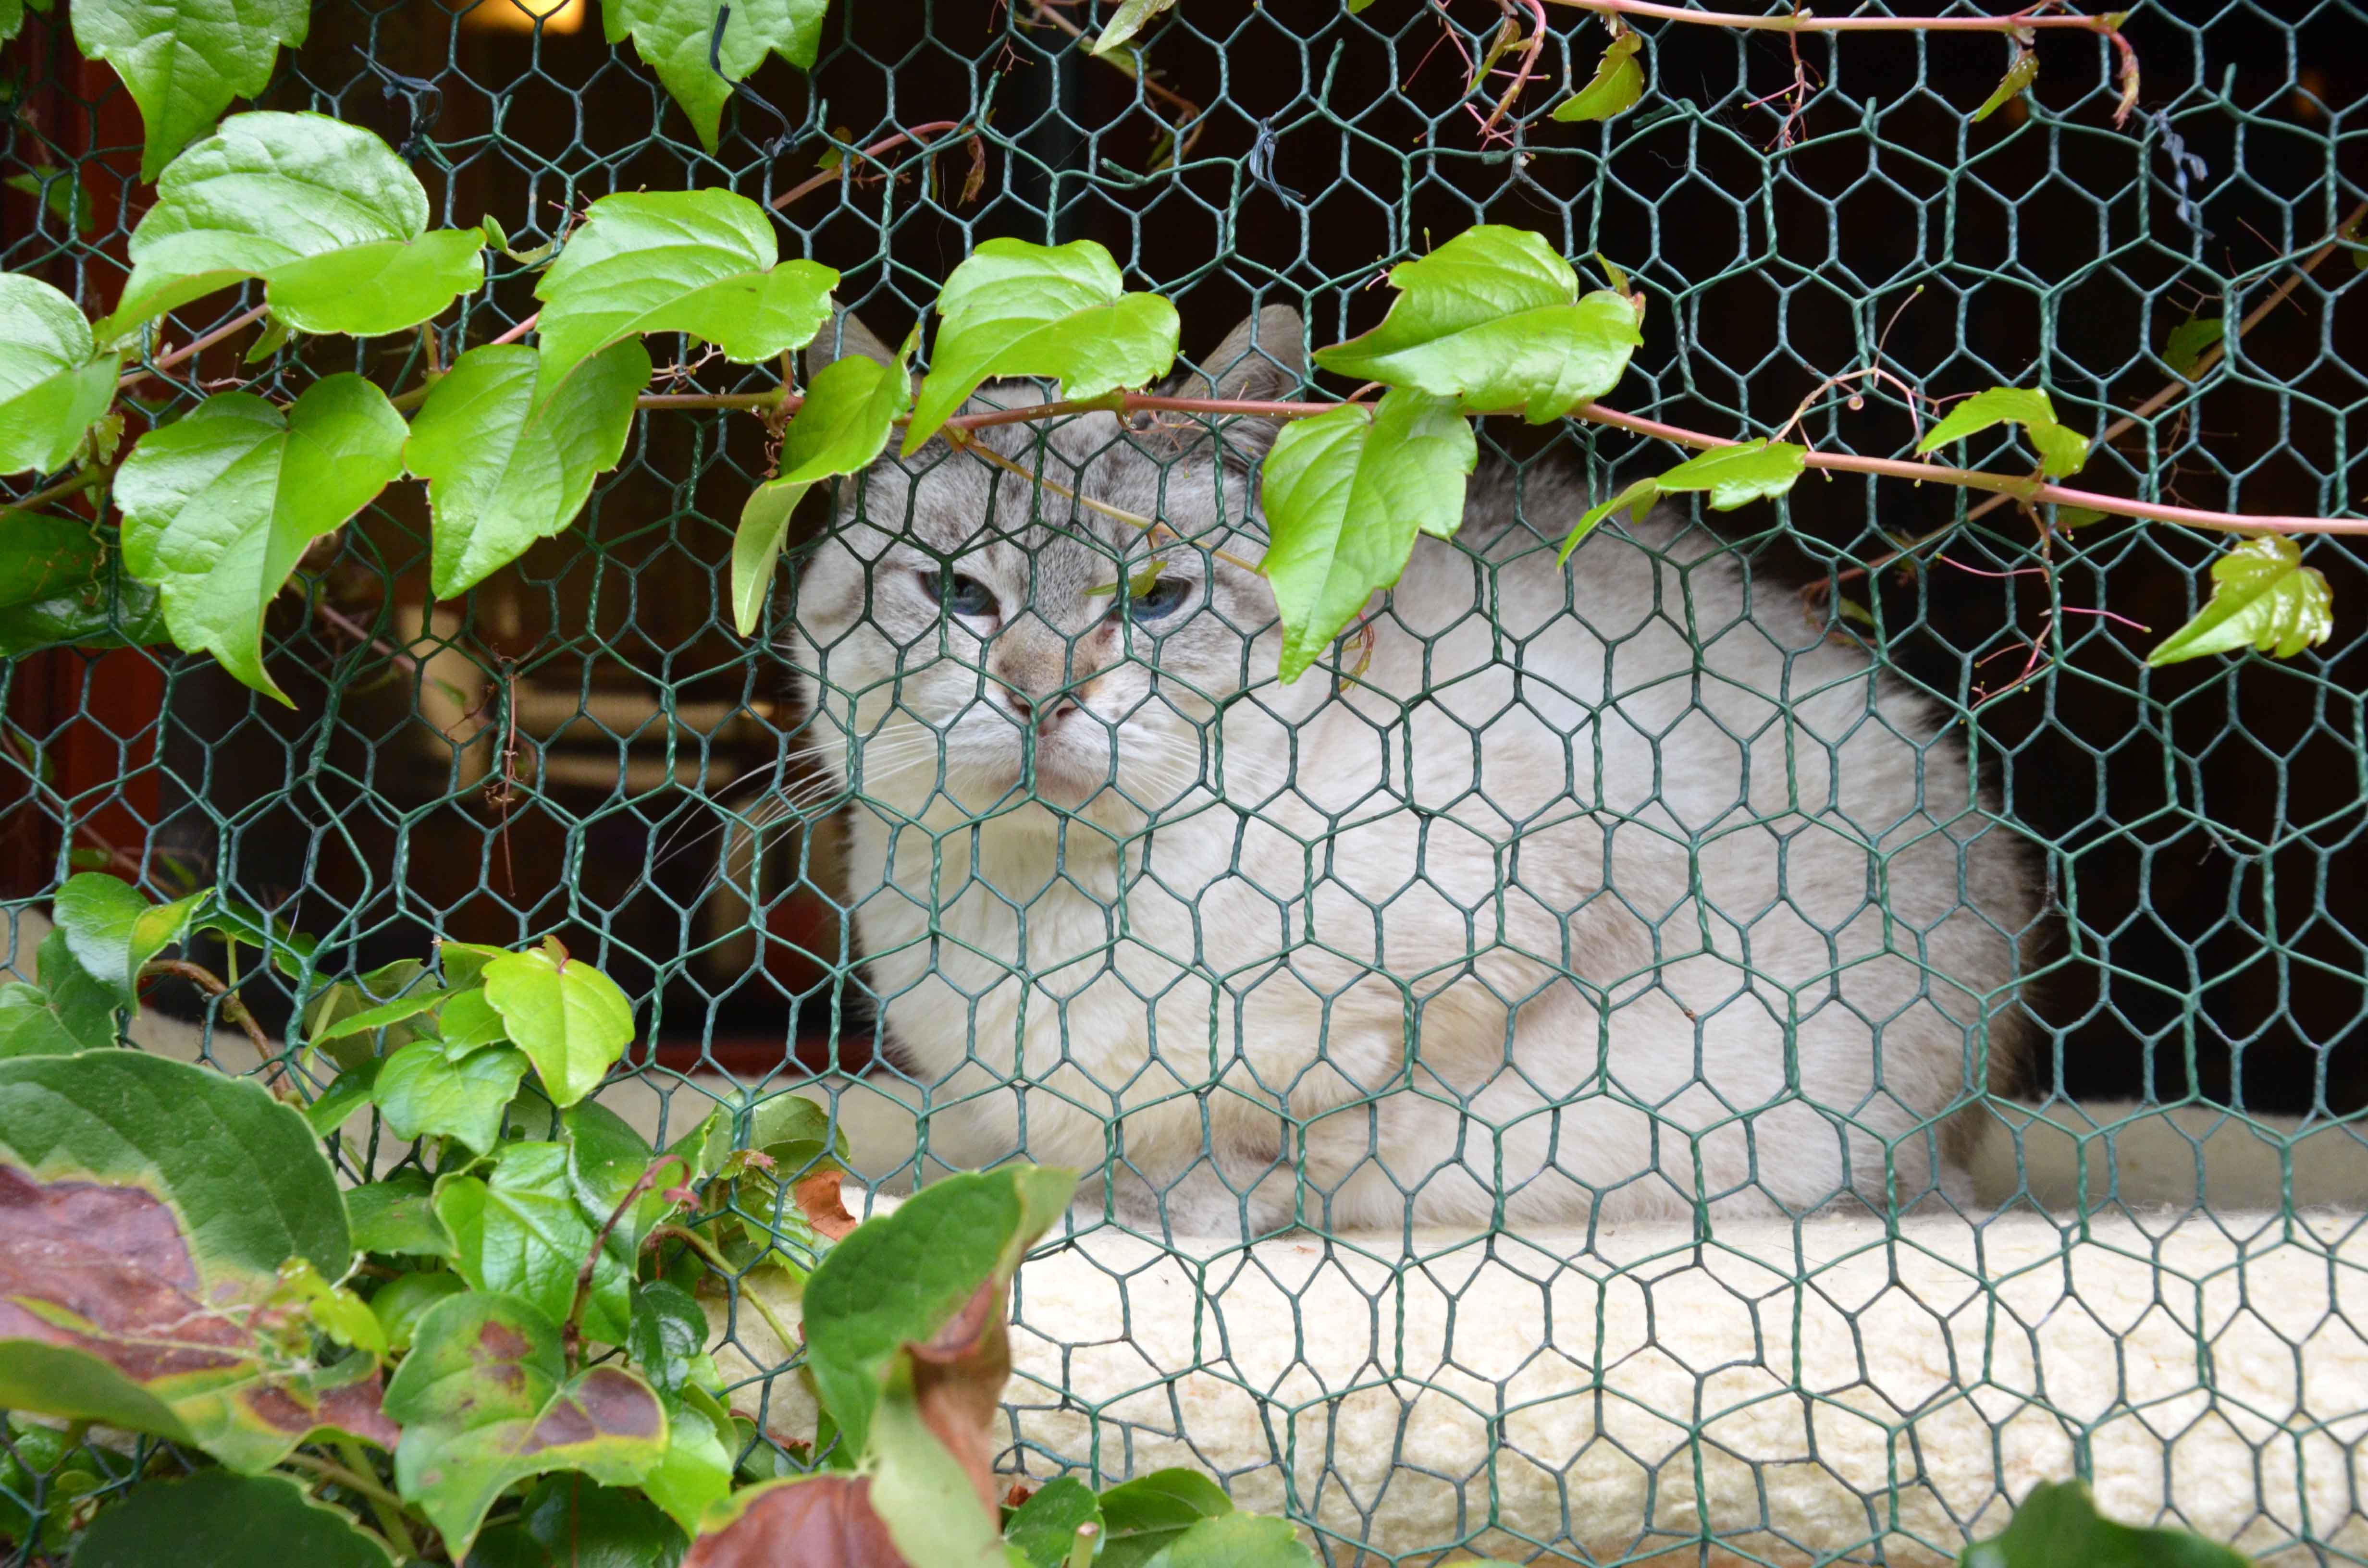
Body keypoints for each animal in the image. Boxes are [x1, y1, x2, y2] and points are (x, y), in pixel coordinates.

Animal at [784, 306, 2038, 1239]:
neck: (1054, 900)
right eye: (960, 594)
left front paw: (1154, 1220)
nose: (1041, 697)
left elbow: (1267, 1130)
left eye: (1155, 601)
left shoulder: (1543, 912)